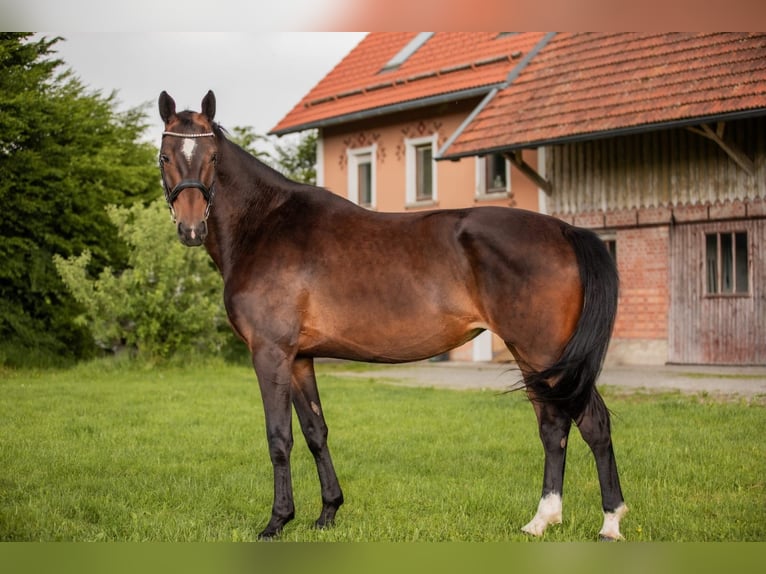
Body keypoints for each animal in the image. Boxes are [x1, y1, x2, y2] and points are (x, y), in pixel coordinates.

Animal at [158, 91, 632, 544]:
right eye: (165, 156)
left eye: (212, 157)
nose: (191, 228)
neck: (266, 223)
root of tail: (565, 230)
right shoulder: (299, 358)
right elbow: (315, 430)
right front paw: (327, 512)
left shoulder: (270, 353)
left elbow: (280, 437)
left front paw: (277, 522)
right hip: (535, 358)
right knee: (553, 427)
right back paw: (542, 520)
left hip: (543, 354)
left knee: (591, 424)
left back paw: (609, 523)